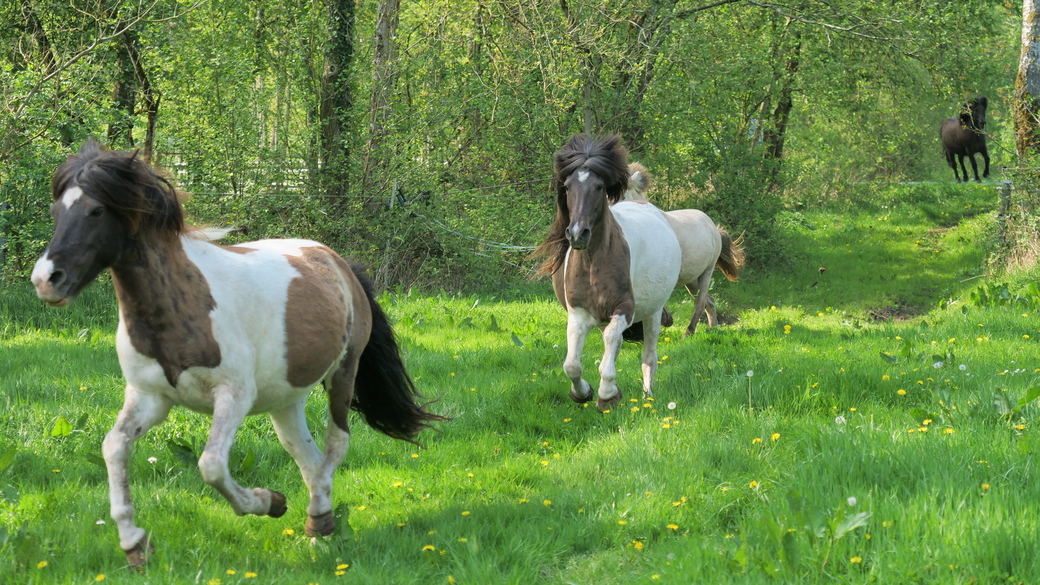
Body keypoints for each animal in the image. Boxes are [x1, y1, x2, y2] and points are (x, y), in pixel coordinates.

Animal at [30, 138, 445, 562]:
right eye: (56, 211)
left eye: (97, 210)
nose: (46, 280)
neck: (179, 305)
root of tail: (340, 264)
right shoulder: (150, 398)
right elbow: (114, 448)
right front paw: (134, 544)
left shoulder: (234, 395)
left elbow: (211, 465)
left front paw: (271, 502)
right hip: (286, 398)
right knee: (306, 456)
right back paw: (320, 527)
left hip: (343, 374)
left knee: (335, 445)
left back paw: (316, 520)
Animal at [536, 135, 682, 412]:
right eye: (567, 187)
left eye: (599, 186)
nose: (578, 234)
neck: (594, 264)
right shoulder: (578, 314)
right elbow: (572, 365)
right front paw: (583, 393)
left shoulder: (624, 309)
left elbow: (613, 348)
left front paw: (607, 395)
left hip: (653, 313)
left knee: (648, 356)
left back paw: (647, 395)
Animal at [619, 161, 744, 335]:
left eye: (623, 195)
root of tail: (714, 227)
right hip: (691, 279)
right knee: (709, 301)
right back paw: (713, 328)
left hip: (707, 272)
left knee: (700, 302)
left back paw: (689, 332)